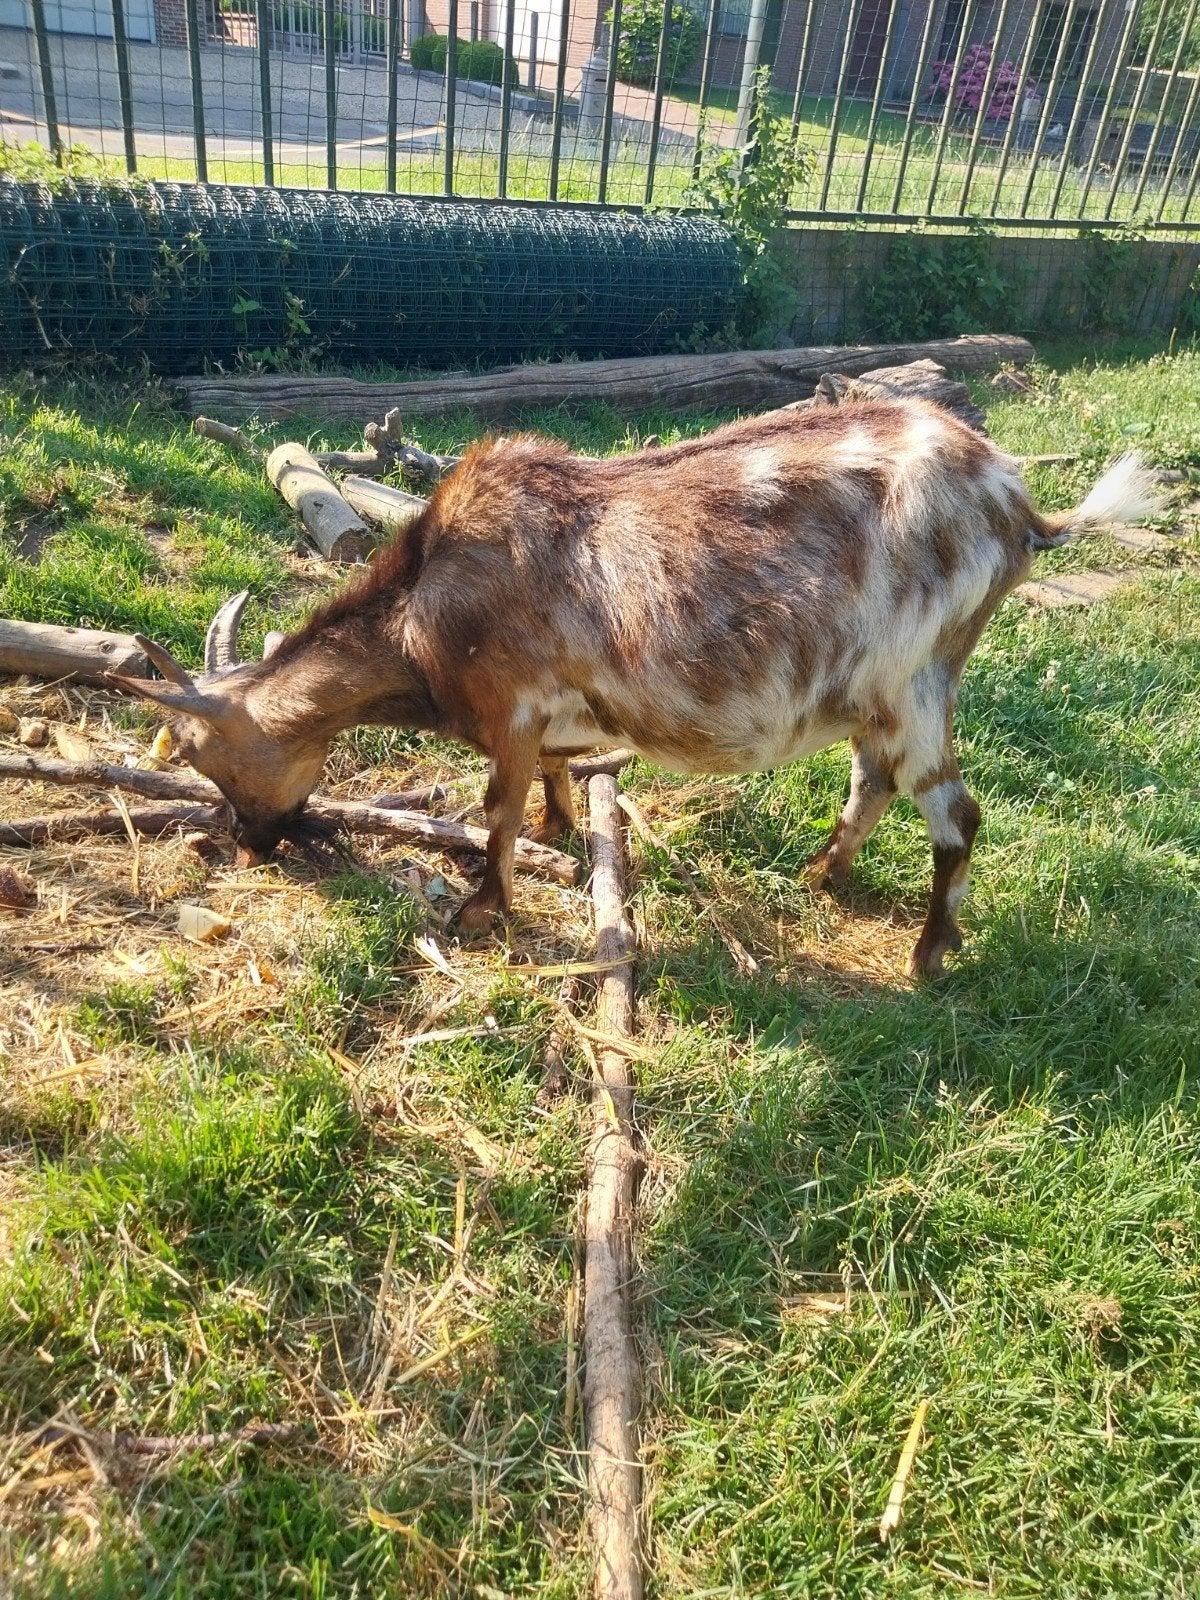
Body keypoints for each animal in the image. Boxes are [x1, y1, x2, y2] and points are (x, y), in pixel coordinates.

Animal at [113, 400, 1160, 977]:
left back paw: (928, 954)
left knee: (954, 812)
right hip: (879, 688)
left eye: (211, 760)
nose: (252, 843)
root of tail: (1020, 506)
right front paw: (563, 833)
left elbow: (493, 807)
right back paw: (822, 874)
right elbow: (551, 778)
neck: (424, 610)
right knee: (875, 783)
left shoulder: (510, 701)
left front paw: (481, 909)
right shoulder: (548, 717)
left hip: (915, 672)